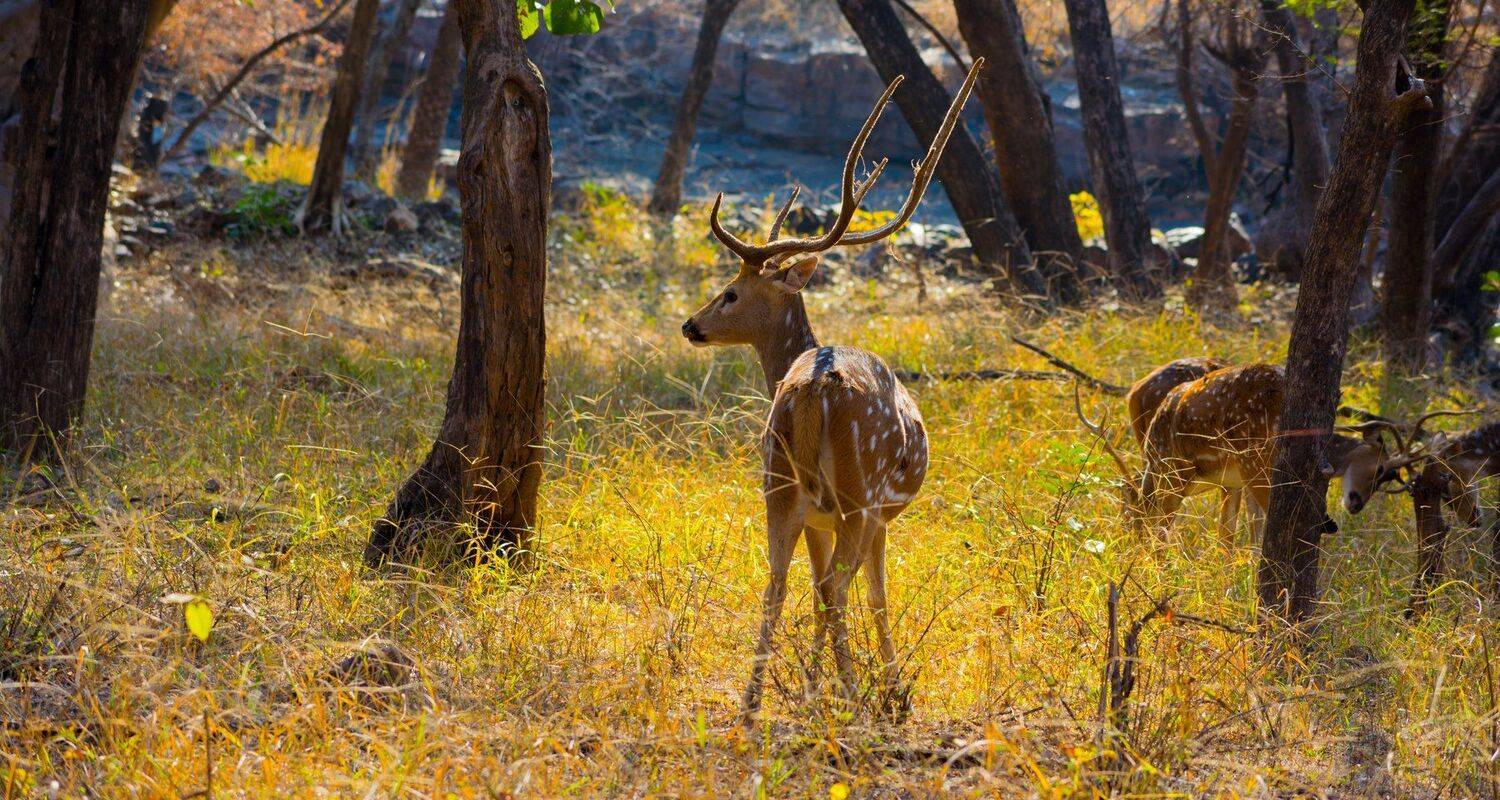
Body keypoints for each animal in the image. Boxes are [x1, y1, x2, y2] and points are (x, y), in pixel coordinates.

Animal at [680, 59, 985, 718]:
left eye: (730, 293)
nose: (691, 325)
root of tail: (815, 387)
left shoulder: (819, 516)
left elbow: (819, 588)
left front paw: (815, 684)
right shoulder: (879, 517)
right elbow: (874, 593)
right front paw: (887, 687)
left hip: (780, 487)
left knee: (778, 583)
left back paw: (754, 704)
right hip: (856, 491)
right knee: (839, 589)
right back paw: (852, 700)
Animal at [1078, 363, 1401, 538]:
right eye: (1381, 468)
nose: (1356, 504)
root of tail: (1133, 390)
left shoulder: (1197, 477)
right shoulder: (1234, 479)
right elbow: (1236, 533)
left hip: (1245, 463)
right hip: (1239, 467)